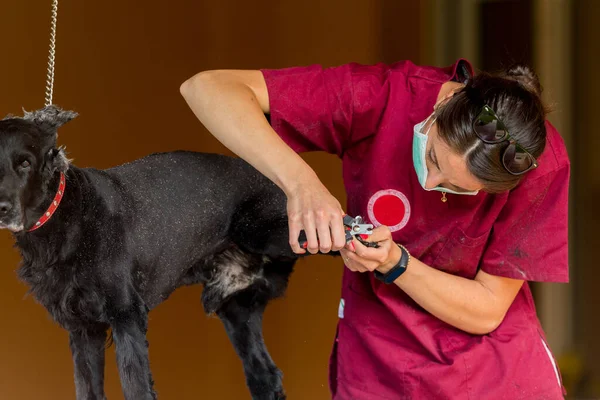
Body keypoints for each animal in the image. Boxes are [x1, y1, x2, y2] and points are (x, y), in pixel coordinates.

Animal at [0, 105, 332, 400]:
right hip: (237, 308)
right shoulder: (83, 328)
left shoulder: (126, 316)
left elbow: (136, 388)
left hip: (271, 233)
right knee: (264, 375)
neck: (65, 216)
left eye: (26, 163)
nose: (2, 208)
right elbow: (88, 389)